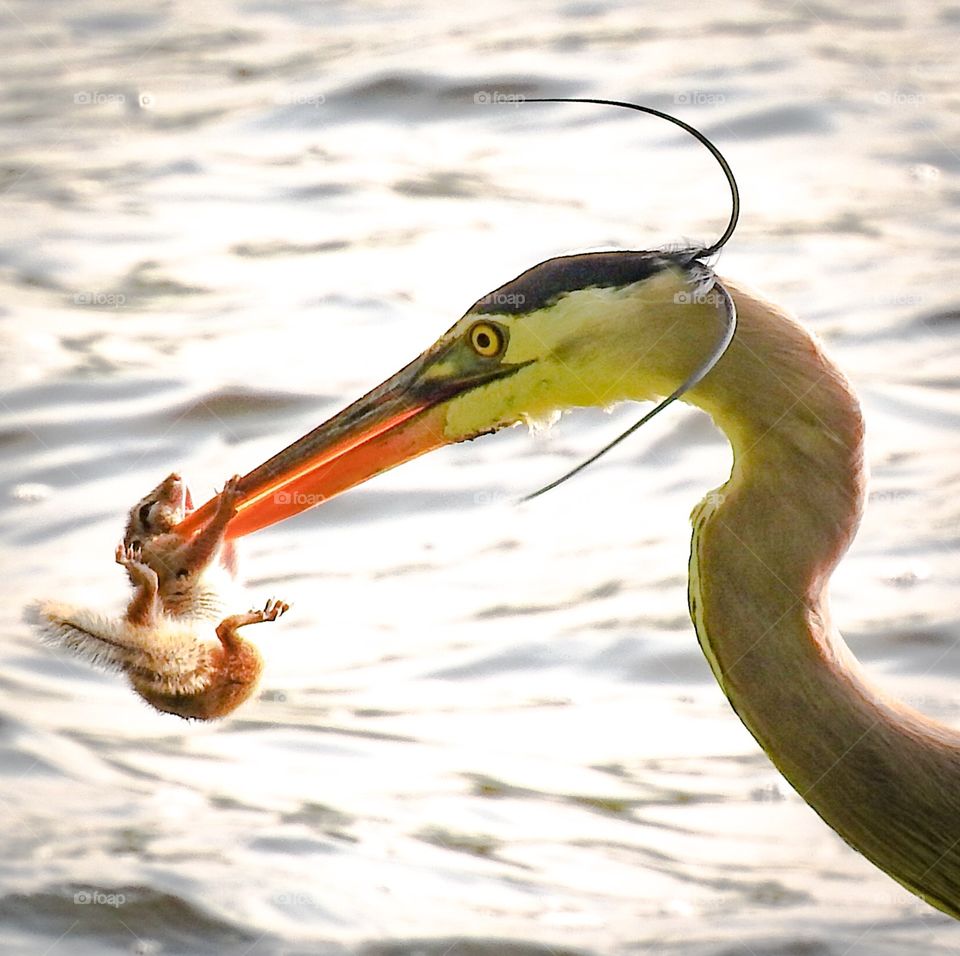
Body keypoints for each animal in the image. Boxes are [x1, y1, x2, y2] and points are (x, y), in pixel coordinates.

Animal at [27, 473, 288, 720]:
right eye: (145, 510)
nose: (175, 475)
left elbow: (230, 556)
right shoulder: (173, 558)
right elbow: (200, 551)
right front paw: (225, 506)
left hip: (247, 665)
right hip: (250, 658)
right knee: (222, 628)